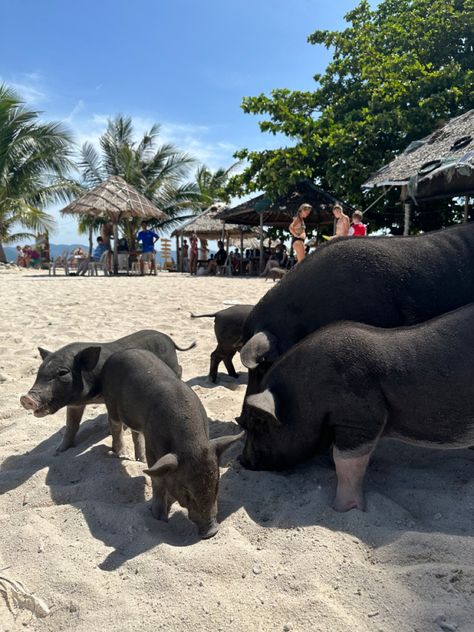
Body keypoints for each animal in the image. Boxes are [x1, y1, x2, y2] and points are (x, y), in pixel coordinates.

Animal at [20, 328, 196, 452]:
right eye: (39, 372)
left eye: (63, 373)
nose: (26, 398)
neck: (88, 397)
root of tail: (168, 338)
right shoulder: (75, 404)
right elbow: (71, 425)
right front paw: (59, 451)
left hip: (172, 363)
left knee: (180, 368)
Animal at [101, 350, 243, 540]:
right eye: (187, 492)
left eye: (217, 484)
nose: (212, 532)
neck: (191, 444)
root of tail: (118, 354)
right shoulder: (153, 446)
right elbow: (157, 480)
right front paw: (159, 518)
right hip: (111, 403)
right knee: (115, 425)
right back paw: (122, 454)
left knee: (135, 432)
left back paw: (138, 460)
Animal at [241, 306, 474, 512]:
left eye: (258, 422)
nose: (242, 461)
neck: (305, 393)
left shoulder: (360, 418)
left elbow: (346, 462)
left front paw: (342, 509)